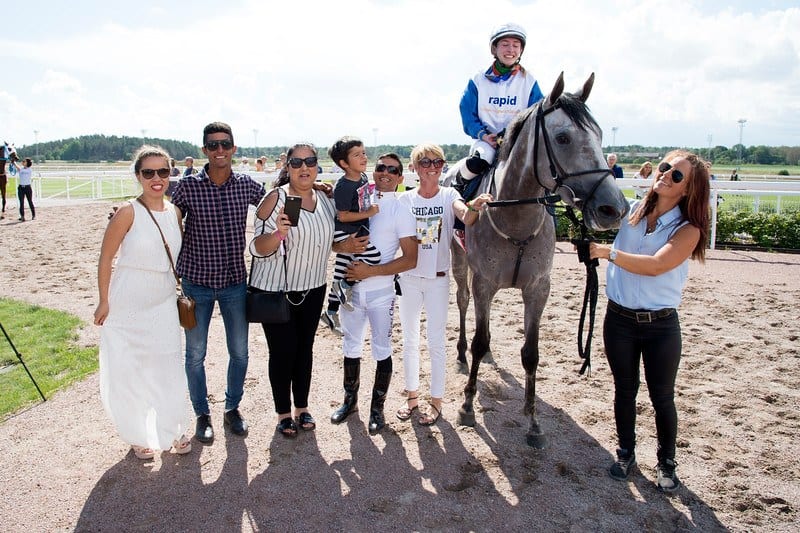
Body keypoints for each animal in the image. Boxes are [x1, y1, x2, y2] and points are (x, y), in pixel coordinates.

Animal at [450, 70, 632, 444]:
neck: (515, 217)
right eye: (562, 138)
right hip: (460, 264)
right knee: (462, 303)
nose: (614, 209)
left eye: (600, 135)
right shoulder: (484, 284)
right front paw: (467, 406)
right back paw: (461, 353)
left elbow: (530, 354)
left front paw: (533, 421)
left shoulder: (538, 288)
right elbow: (478, 340)